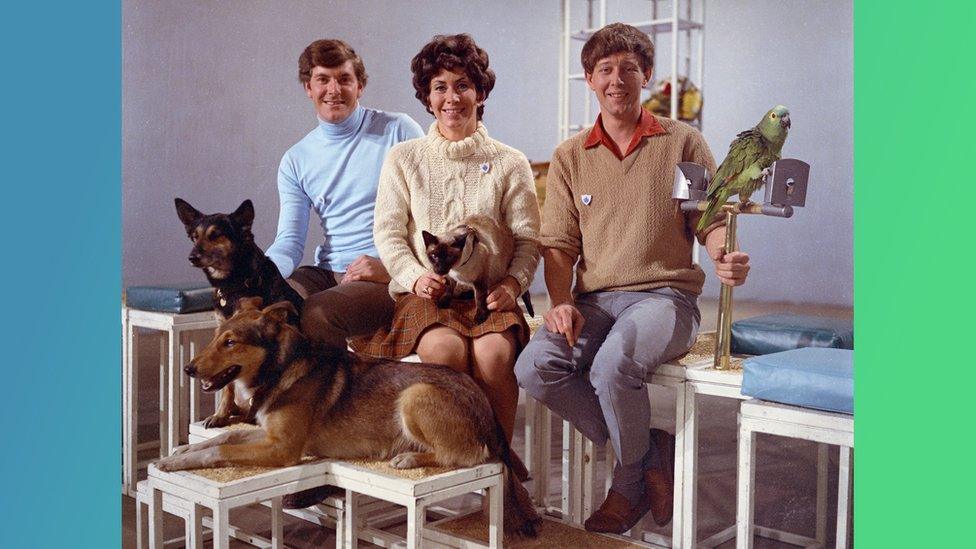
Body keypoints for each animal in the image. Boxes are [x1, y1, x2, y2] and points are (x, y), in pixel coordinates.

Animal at [159, 298, 540, 536]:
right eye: (214, 339)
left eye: (230, 342)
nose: (188, 369)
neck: (281, 366)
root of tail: (483, 399)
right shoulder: (268, 435)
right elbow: (225, 436)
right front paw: (180, 451)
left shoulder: (283, 449)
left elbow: (218, 450)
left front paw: (175, 463)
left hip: (415, 395)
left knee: (470, 454)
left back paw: (408, 457)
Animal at [173, 197, 302, 428]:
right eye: (195, 237)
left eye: (215, 235)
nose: (192, 257)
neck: (234, 284)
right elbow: (228, 384)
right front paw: (220, 415)